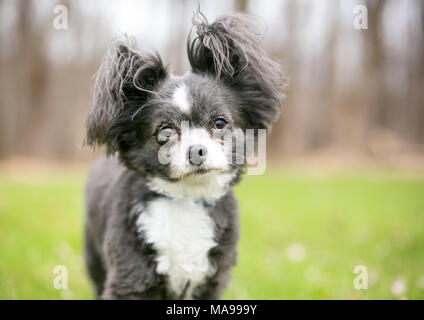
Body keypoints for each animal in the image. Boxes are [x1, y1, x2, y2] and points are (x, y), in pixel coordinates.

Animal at [83, 10, 284, 300]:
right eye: (166, 131)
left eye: (219, 123)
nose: (196, 151)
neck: (187, 200)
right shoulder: (129, 276)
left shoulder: (211, 280)